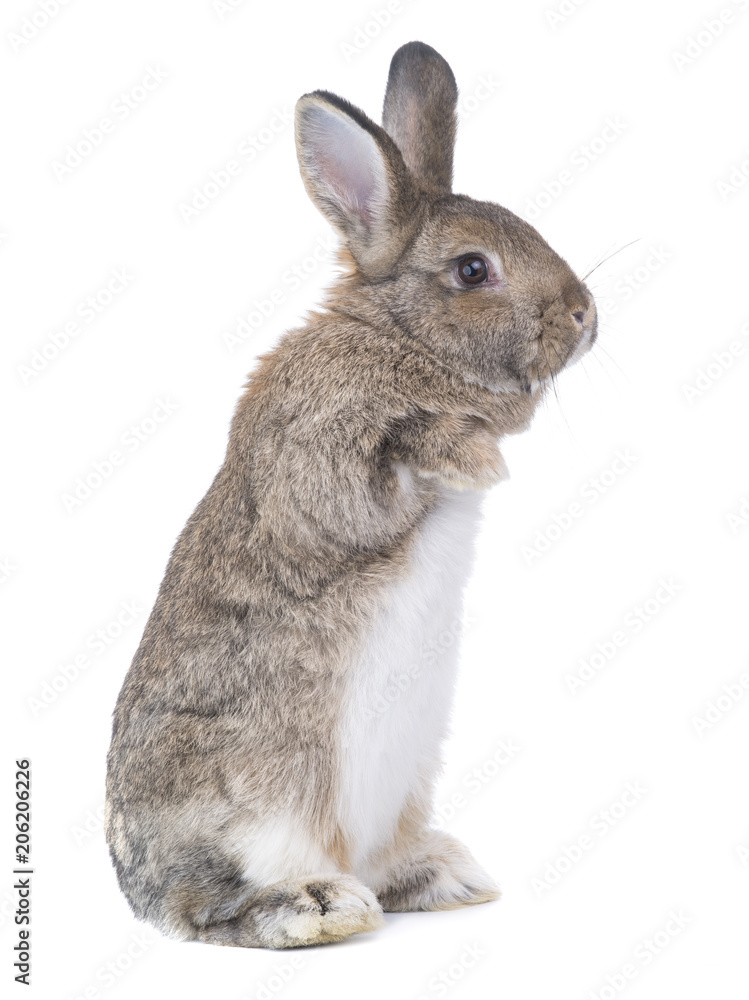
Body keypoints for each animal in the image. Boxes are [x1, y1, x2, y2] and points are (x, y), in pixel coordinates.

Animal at [105, 40, 597, 950]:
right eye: (471, 269)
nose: (585, 315)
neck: (397, 338)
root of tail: (137, 888)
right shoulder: (317, 460)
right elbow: (390, 465)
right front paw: (478, 457)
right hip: (250, 800)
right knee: (212, 908)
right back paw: (318, 907)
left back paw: (445, 876)